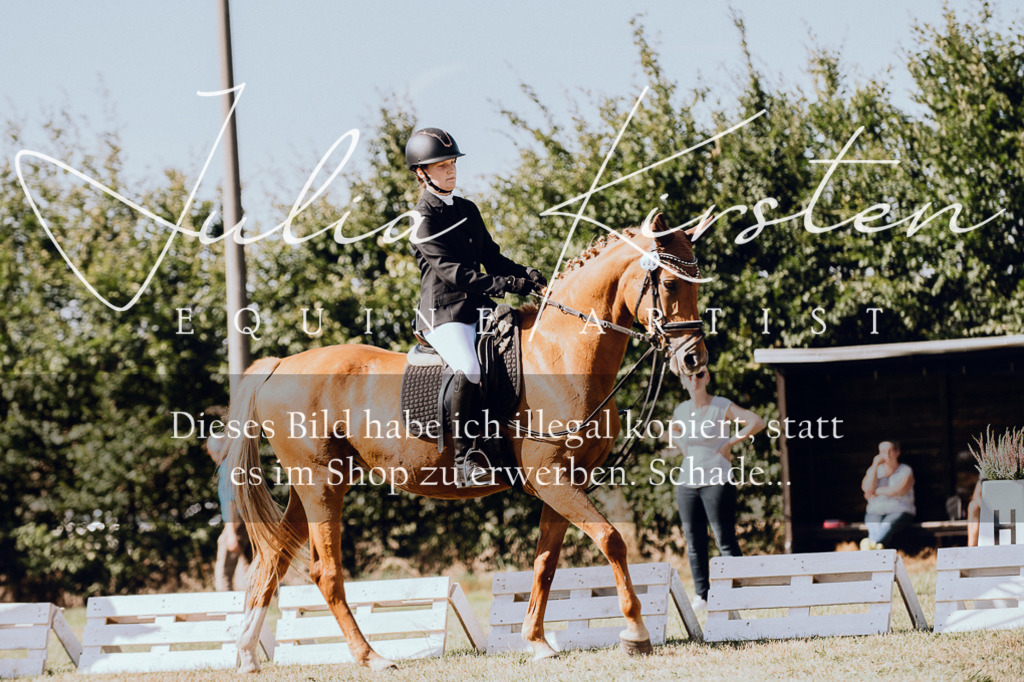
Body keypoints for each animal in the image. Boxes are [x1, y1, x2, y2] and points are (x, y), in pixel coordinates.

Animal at [225, 212, 708, 672]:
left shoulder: (567, 482)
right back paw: (371, 657)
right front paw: (636, 633)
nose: (693, 360)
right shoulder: (551, 478)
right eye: (669, 283)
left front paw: (536, 643)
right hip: (322, 484)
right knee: (325, 572)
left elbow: (546, 562)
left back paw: (247, 655)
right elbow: (611, 540)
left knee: (275, 556)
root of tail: (280, 364)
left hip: (311, 486)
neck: (561, 355)